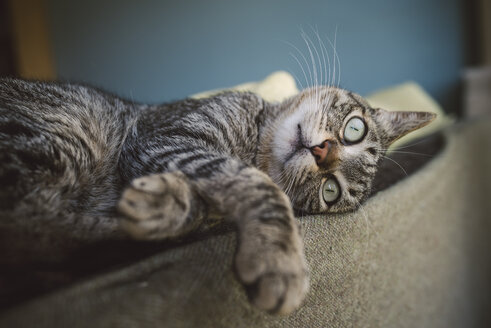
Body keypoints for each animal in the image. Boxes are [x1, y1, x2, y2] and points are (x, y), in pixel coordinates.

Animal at [0, 77, 434, 316]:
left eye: (330, 191)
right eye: (354, 129)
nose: (323, 153)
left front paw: (172, 204)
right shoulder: (167, 136)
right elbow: (258, 185)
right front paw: (281, 260)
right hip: (70, 134)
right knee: (32, 224)